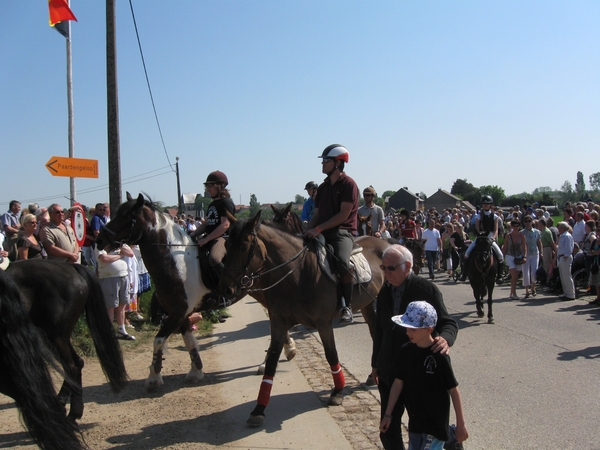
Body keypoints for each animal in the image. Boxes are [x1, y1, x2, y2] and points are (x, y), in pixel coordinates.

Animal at [0, 266, 84, 448]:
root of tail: (71, 268)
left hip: (55, 337)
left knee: (71, 367)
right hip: (56, 338)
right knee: (77, 364)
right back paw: (71, 413)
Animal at [6, 258, 129, 420]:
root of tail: (70, 267)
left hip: (54, 336)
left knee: (71, 366)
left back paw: (64, 406)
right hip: (58, 337)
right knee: (77, 363)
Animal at [217, 213, 390, 428]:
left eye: (243, 246)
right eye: (227, 245)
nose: (225, 289)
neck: (298, 274)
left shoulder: (323, 323)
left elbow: (331, 354)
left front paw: (337, 391)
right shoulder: (278, 322)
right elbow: (272, 360)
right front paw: (259, 409)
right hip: (367, 304)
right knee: (375, 333)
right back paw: (372, 376)